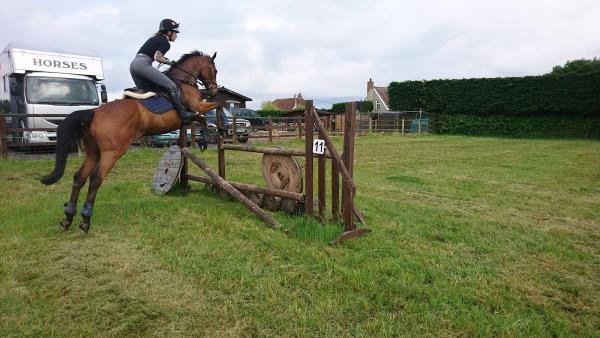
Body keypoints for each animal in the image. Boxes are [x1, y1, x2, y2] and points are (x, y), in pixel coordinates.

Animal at [41, 51, 221, 234]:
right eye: (214, 70)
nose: (213, 89)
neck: (184, 82)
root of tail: (93, 112)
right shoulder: (196, 108)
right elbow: (210, 111)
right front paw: (209, 137)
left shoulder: (193, 113)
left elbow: (205, 116)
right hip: (112, 153)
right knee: (96, 178)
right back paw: (85, 219)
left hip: (93, 153)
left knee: (79, 177)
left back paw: (68, 217)